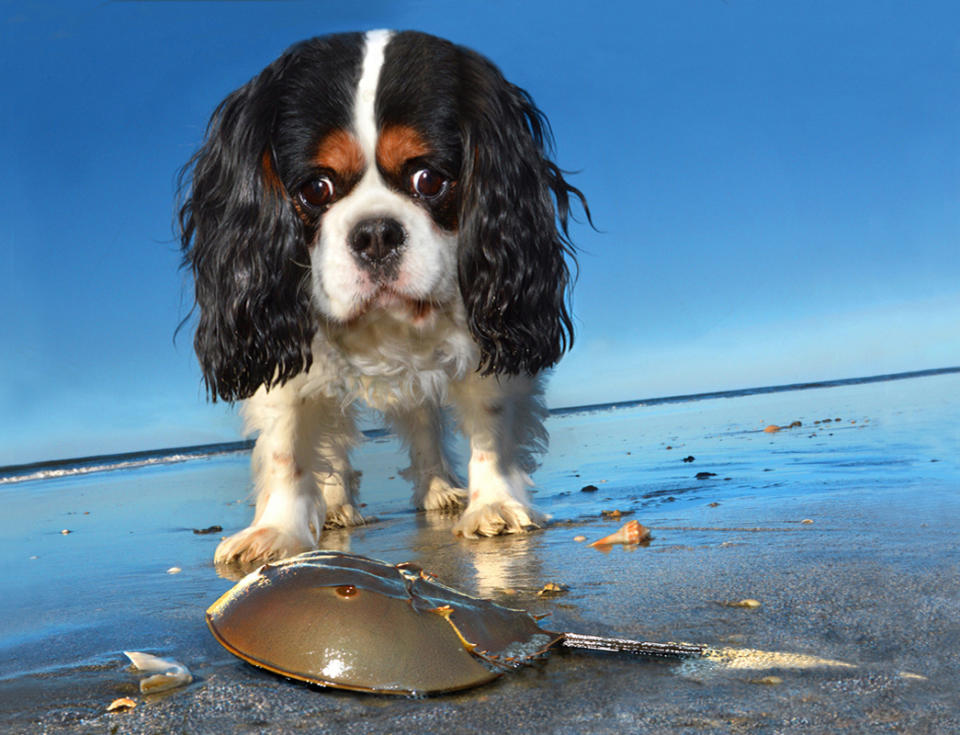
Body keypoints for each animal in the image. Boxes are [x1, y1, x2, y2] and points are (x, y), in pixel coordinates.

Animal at [179, 30, 584, 564]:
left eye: (429, 179)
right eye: (316, 188)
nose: (375, 235)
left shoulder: (493, 324)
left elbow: (490, 420)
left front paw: (493, 502)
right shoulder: (281, 343)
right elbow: (288, 442)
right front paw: (277, 530)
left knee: (422, 422)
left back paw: (440, 491)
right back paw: (335, 506)